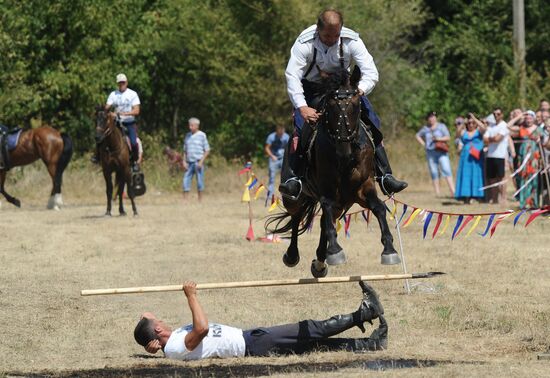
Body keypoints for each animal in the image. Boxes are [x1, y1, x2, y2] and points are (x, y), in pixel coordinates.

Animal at [268, 65, 402, 278]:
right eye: (330, 106)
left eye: (355, 105)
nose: (344, 151)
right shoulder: (327, 191)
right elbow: (326, 210)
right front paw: (335, 250)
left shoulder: (363, 189)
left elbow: (379, 207)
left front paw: (389, 250)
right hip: (294, 197)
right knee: (297, 216)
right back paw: (294, 255)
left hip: (342, 203)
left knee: (324, 222)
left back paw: (320, 261)